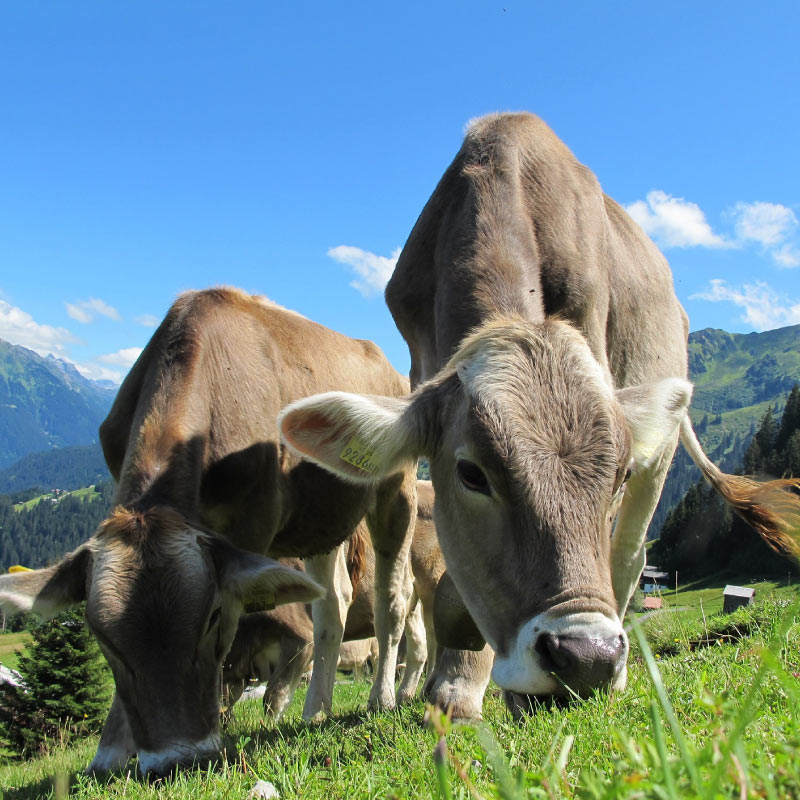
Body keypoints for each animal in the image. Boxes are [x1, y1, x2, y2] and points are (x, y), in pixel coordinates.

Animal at [0, 290, 416, 776]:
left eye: (212, 617)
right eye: (101, 637)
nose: (175, 759)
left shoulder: (251, 526)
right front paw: (111, 751)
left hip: (396, 489)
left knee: (392, 600)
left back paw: (381, 698)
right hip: (320, 519)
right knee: (332, 604)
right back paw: (316, 709)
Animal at [222, 484, 440, 716]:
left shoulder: (300, 637)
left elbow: (273, 695)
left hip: (431, 583)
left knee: (434, 636)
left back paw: (426, 689)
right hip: (413, 601)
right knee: (419, 644)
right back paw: (405, 695)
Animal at [278, 112, 800, 720]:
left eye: (616, 474)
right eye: (471, 474)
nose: (589, 657)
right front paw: (456, 684)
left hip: (661, 450)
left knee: (629, 553)